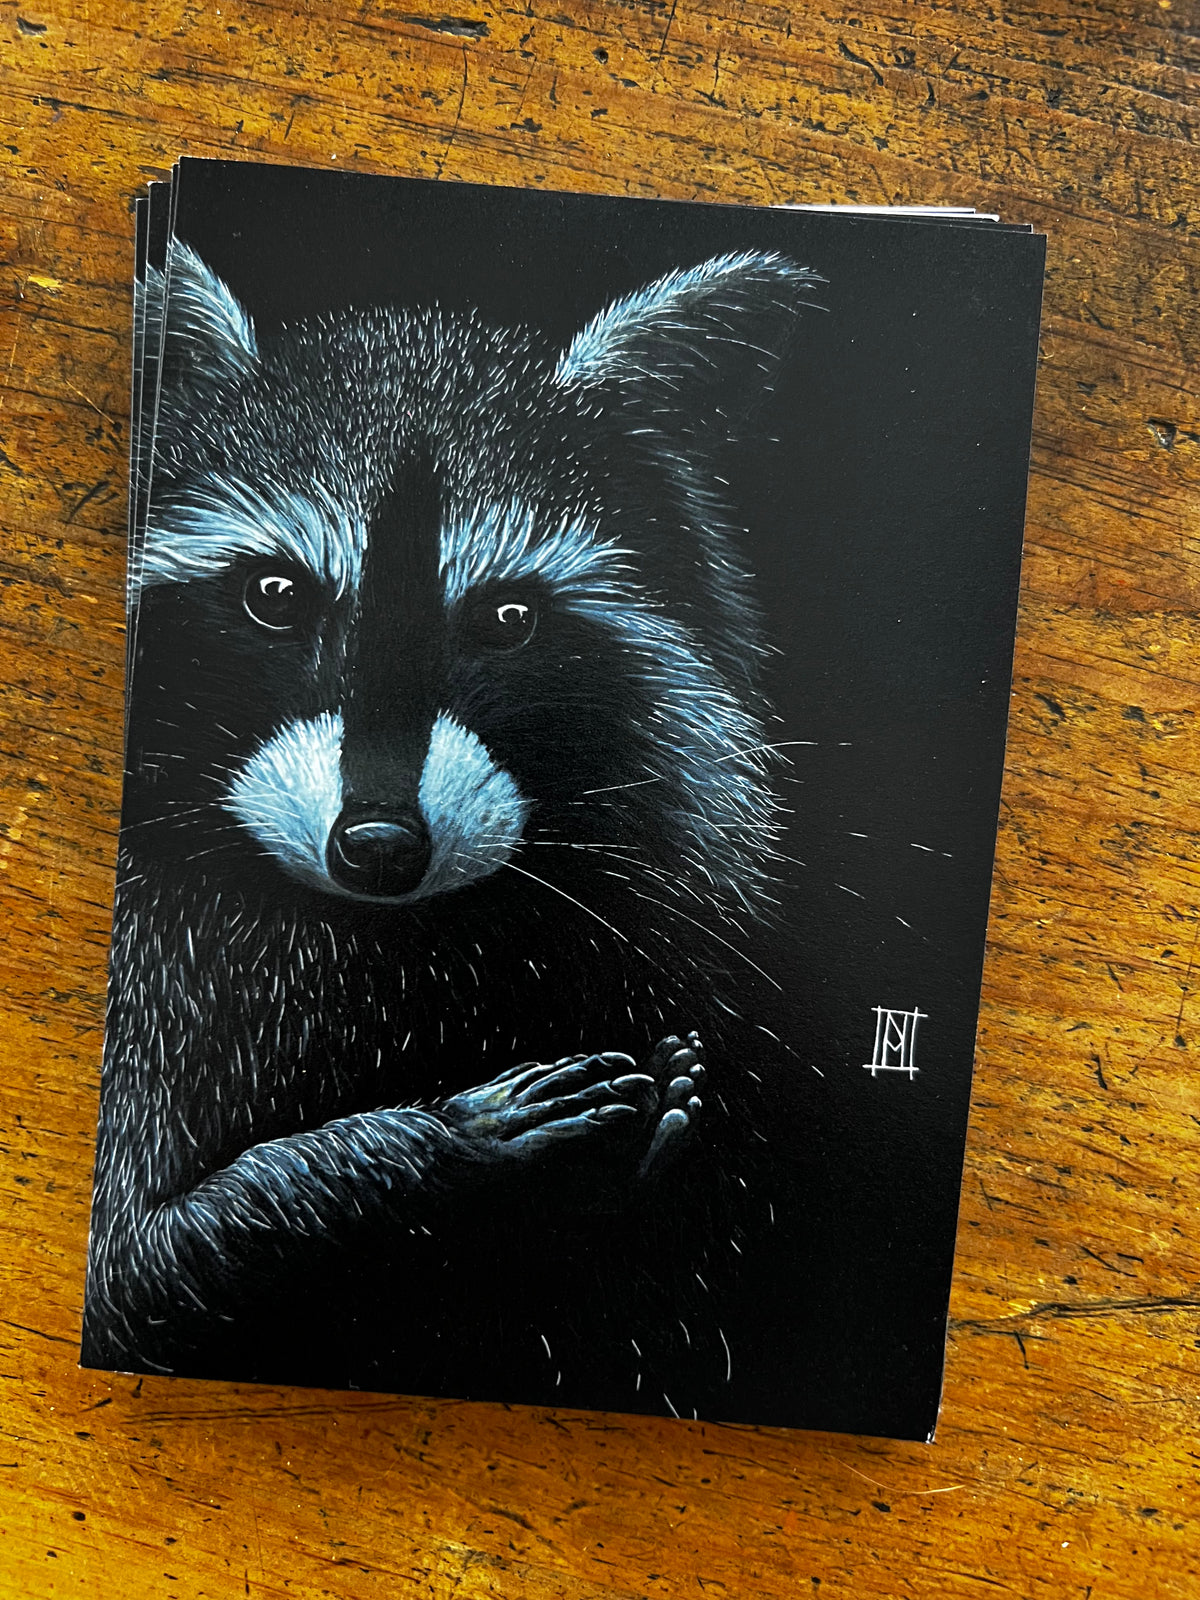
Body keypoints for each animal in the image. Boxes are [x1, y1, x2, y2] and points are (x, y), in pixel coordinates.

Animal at [83, 239, 820, 1419]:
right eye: (275, 593)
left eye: (507, 618)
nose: (379, 847)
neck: (377, 933)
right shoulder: (157, 994)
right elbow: (142, 1266)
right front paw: (430, 1151)